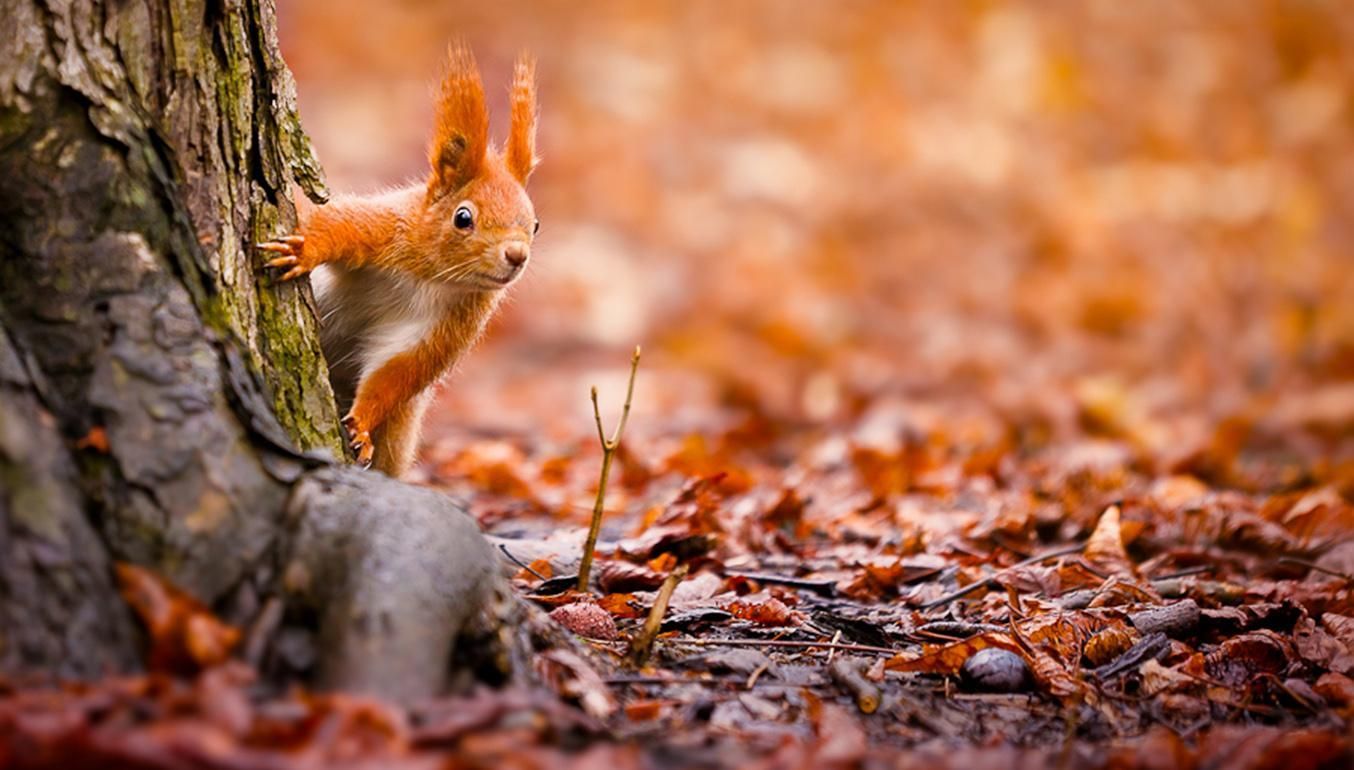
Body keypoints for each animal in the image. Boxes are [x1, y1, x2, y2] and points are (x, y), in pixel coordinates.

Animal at [255, 46, 536, 473]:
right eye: (463, 218)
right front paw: (304, 250)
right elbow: (336, 226)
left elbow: (396, 372)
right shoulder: (383, 229)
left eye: (535, 224)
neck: (433, 277)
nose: (517, 255)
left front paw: (361, 425)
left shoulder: (449, 325)